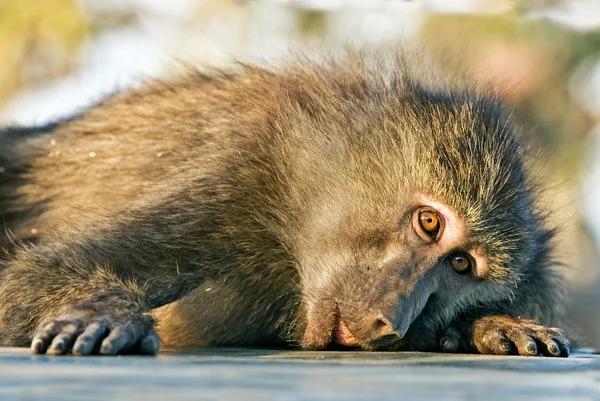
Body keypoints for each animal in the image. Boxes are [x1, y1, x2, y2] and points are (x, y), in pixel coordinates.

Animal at [0, 54, 572, 356]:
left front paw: (487, 326)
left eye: (460, 266)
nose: (391, 320)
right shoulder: (235, 175)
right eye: (429, 222)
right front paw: (106, 311)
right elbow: (34, 274)